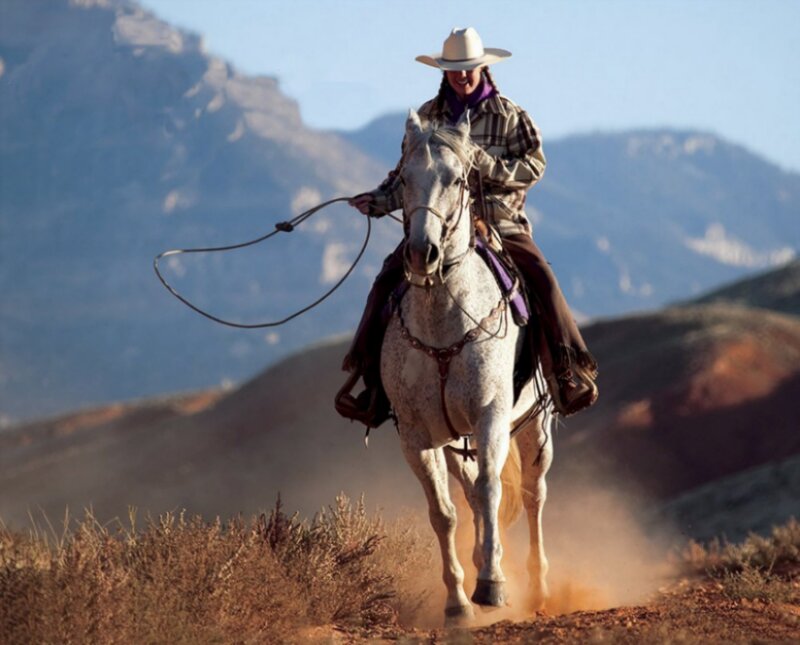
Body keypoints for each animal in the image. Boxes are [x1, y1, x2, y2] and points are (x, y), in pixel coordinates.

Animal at [380, 110, 554, 626]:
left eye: (458, 178)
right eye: (403, 178)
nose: (423, 254)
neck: (444, 321)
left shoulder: (490, 415)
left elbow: (492, 490)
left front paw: (492, 586)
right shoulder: (417, 436)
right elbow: (444, 513)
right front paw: (458, 603)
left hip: (534, 426)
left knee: (532, 494)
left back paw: (537, 587)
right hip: (457, 441)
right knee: (472, 496)